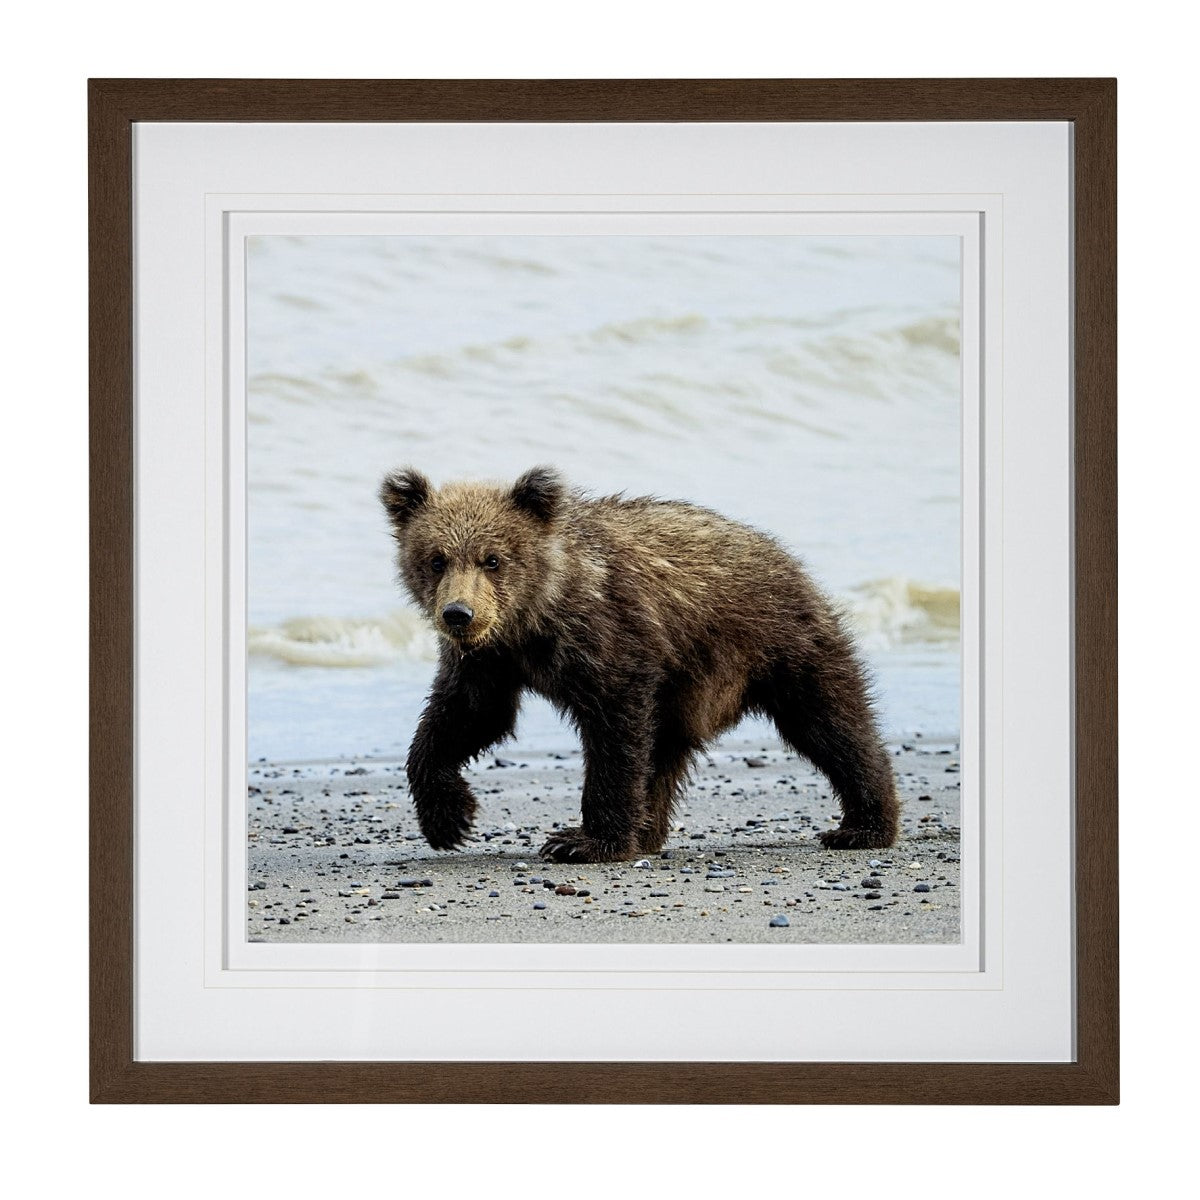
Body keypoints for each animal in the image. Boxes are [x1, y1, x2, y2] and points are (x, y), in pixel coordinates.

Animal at [380, 466, 899, 863]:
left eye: (492, 559)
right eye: (436, 559)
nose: (458, 614)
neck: (534, 618)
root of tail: (787, 556)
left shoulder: (610, 637)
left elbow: (615, 730)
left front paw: (583, 841)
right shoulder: (489, 660)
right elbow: (466, 717)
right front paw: (449, 819)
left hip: (777, 642)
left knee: (830, 721)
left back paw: (863, 825)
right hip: (690, 685)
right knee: (666, 749)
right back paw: (648, 830)